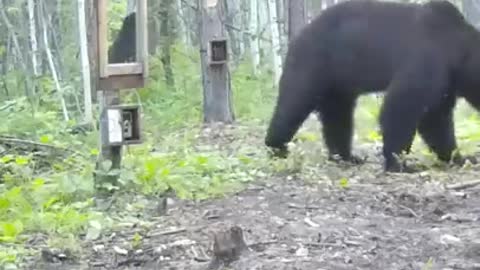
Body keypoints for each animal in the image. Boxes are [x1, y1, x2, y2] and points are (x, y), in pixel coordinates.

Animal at [264, 0, 480, 173]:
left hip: (339, 82)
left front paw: (462, 157)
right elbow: (401, 107)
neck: (457, 49)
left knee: (338, 117)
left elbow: (436, 119)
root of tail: (299, 35)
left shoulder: (445, 82)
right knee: (294, 103)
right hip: (313, 63)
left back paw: (346, 156)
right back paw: (277, 148)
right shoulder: (427, 60)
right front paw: (400, 164)